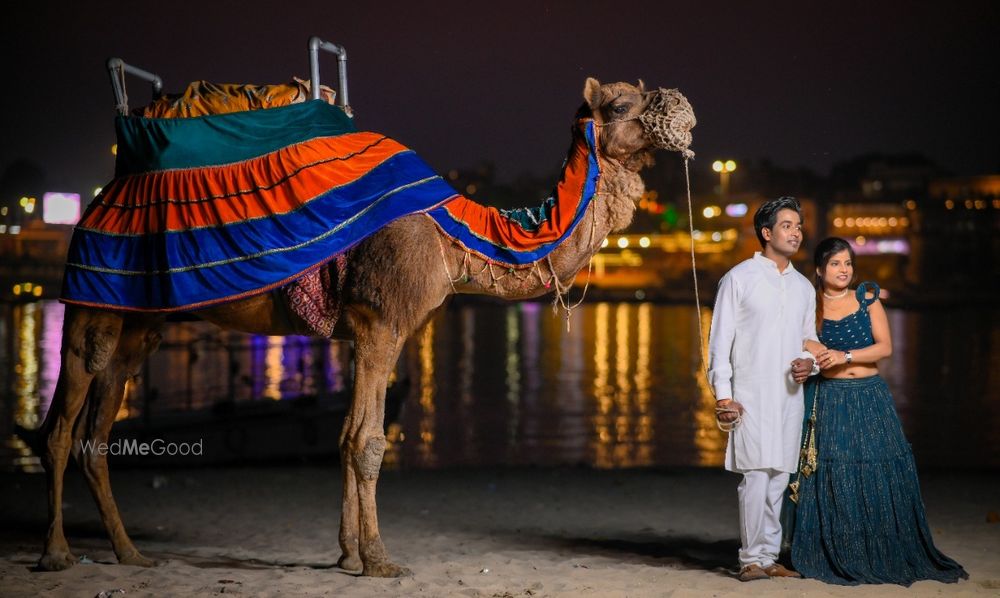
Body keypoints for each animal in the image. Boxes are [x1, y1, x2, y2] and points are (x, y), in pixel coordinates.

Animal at [37, 77, 696, 580]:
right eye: (620, 106)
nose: (681, 109)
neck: (455, 236)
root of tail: (100, 197)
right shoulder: (382, 322)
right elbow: (369, 441)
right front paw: (379, 561)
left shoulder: (372, 331)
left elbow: (348, 435)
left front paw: (348, 557)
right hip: (90, 301)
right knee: (62, 426)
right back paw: (57, 554)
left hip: (139, 325)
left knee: (99, 428)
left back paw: (129, 553)